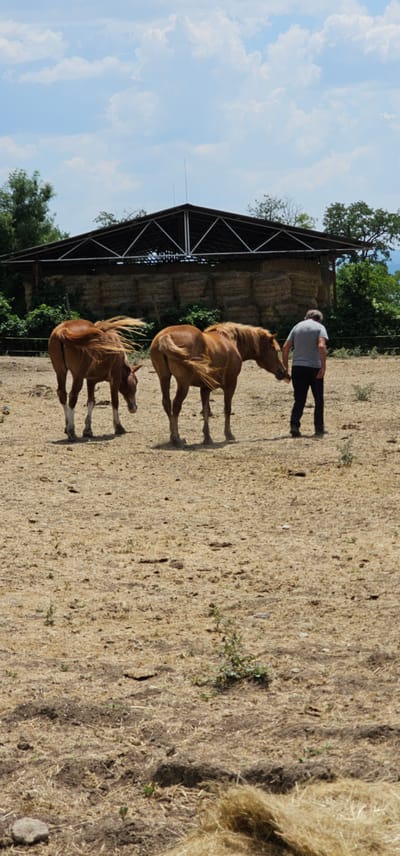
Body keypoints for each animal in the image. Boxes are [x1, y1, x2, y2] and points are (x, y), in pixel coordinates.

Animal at [150, 321, 290, 446]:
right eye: (275, 349)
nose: (282, 372)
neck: (229, 340)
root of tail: (165, 336)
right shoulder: (231, 384)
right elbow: (227, 409)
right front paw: (228, 435)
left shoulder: (205, 388)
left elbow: (206, 411)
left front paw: (207, 437)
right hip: (183, 384)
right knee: (176, 405)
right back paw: (177, 439)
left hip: (164, 378)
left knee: (167, 403)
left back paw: (172, 437)